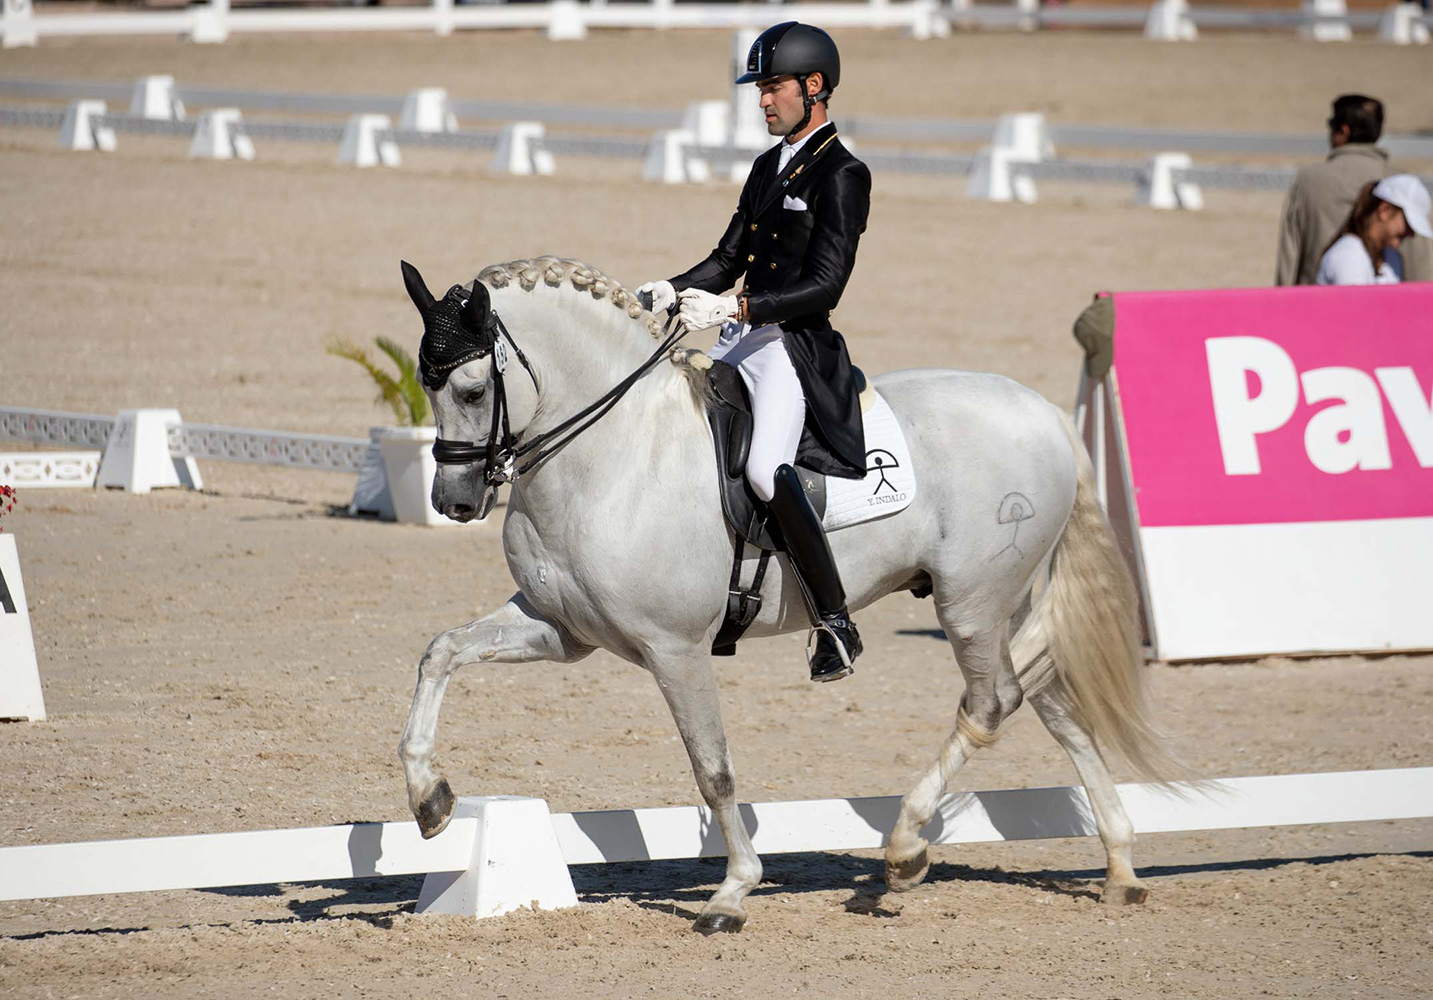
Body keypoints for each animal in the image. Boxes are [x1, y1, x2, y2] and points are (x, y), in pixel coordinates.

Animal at [398, 253, 1180, 928]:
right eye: (427, 386)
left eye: (472, 389)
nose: (454, 501)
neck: (616, 452)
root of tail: (1043, 411)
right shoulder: (562, 631)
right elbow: (440, 652)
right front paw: (430, 800)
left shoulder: (675, 649)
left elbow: (712, 770)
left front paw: (732, 893)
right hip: (1000, 606)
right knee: (1052, 703)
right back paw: (1119, 868)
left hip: (970, 603)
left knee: (993, 704)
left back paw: (905, 850)